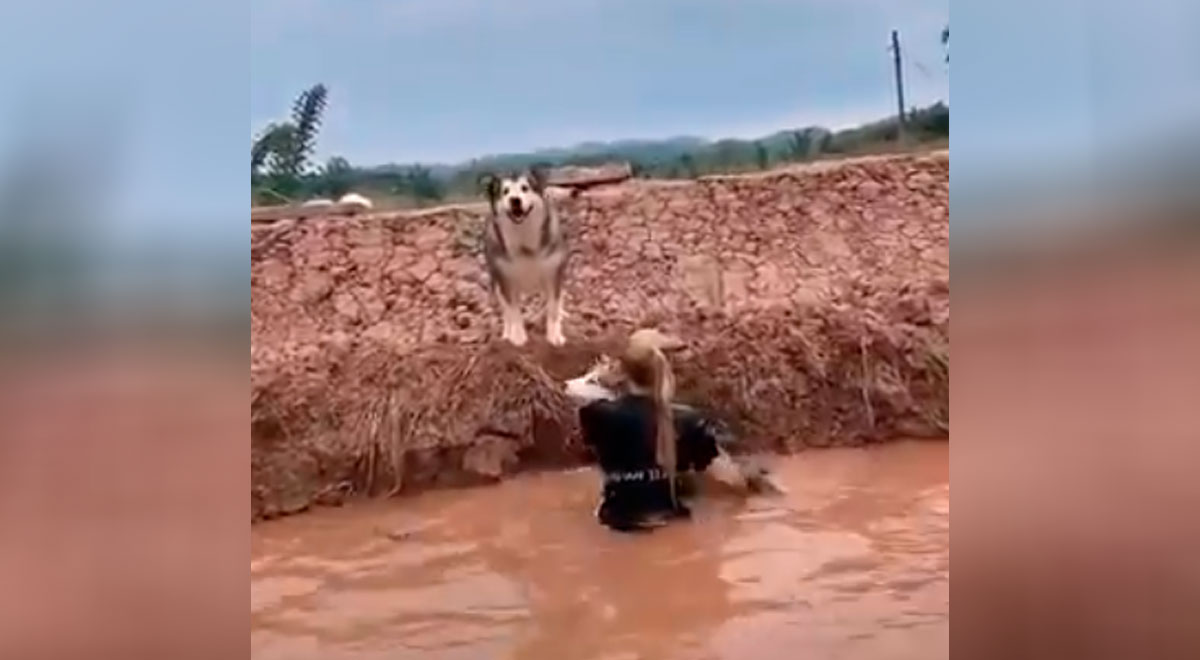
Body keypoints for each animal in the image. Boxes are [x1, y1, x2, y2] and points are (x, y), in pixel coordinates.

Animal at [480, 168, 568, 350]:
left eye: (525, 188)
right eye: (505, 191)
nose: (515, 200)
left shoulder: (554, 273)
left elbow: (553, 308)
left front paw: (555, 336)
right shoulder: (506, 279)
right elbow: (513, 311)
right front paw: (518, 337)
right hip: (496, 279)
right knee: (506, 310)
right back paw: (507, 332)